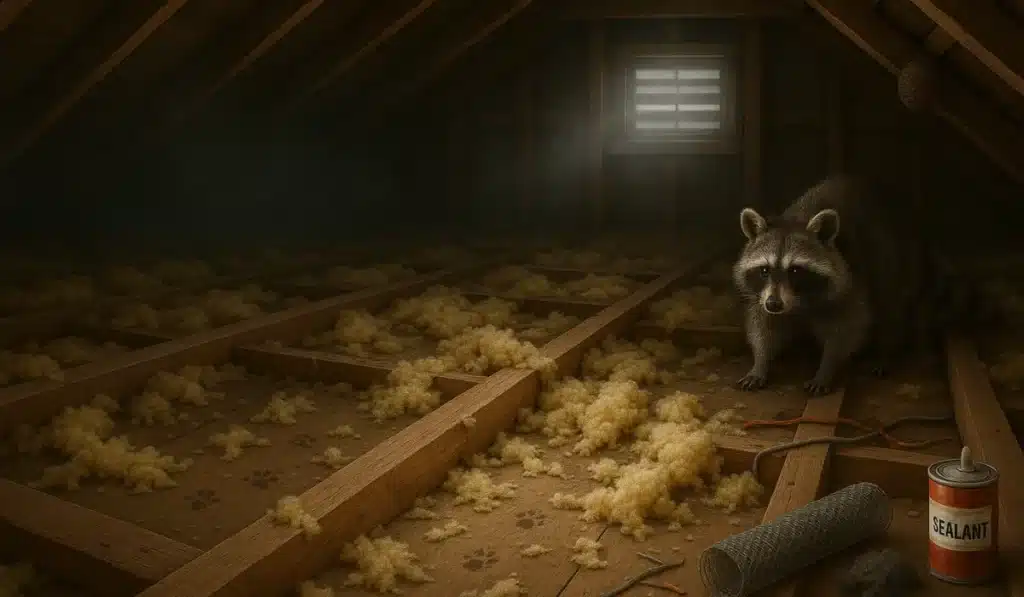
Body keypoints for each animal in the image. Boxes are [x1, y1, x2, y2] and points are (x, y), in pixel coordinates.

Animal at [732, 175, 929, 395]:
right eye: (764, 270)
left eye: (795, 270)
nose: (774, 304)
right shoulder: (762, 294)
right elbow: (763, 325)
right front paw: (760, 362)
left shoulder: (851, 282)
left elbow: (847, 328)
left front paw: (826, 368)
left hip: (892, 258)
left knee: (890, 302)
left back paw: (886, 351)